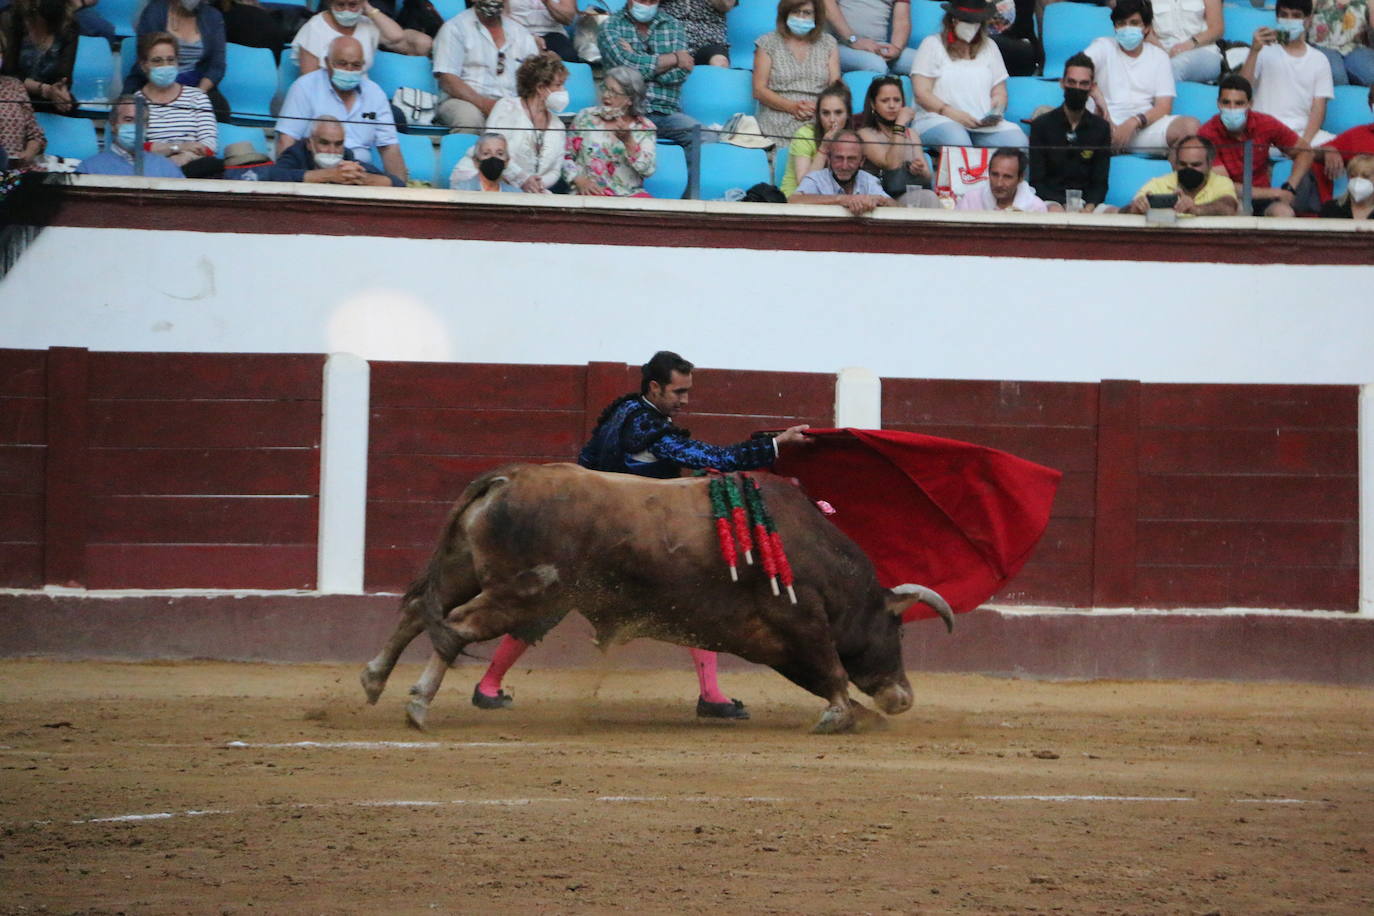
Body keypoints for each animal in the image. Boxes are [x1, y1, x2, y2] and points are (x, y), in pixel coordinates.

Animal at [359, 461, 950, 736]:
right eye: (897, 628)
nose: (903, 697)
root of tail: (507, 478)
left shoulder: (770, 641)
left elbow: (820, 675)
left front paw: (856, 714)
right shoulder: (800, 623)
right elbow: (831, 669)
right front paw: (842, 716)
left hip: (464, 568)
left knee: (419, 612)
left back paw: (373, 680)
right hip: (523, 592)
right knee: (456, 627)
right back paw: (417, 705)